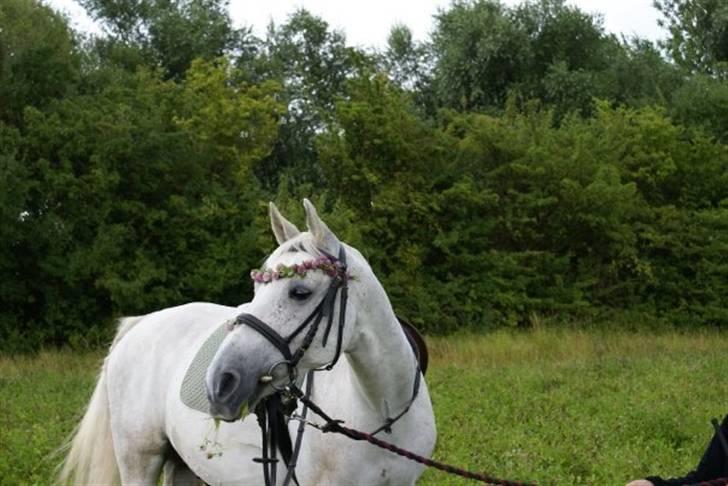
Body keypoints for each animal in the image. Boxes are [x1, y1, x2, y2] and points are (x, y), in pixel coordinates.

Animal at [59, 199, 436, 485]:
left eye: (300, 292)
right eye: (256, 288)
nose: (220, 383)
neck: (382, 413)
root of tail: (141, 323)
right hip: (139, 460)